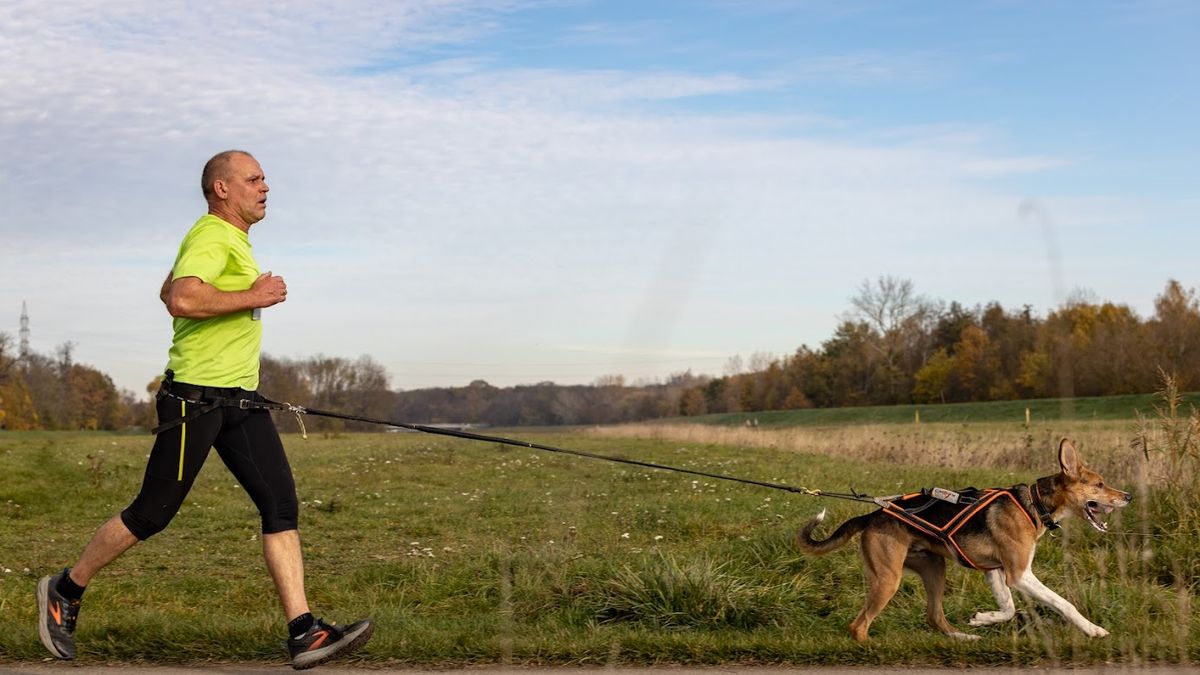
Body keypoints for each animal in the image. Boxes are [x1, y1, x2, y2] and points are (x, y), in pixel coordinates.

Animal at [801, 439, 1128, 638]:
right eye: (1099, 484)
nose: (1128, 496)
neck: (1034, 503)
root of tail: (872, 515)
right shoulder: (1019, 574)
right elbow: (1064, 604)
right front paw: (1093, 630)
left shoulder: (995, 571)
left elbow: (1008, 609)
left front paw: (982, 618)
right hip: (887, 579)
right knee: (858, 627)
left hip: (934, 568)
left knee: (934, 617)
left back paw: (965, 637)